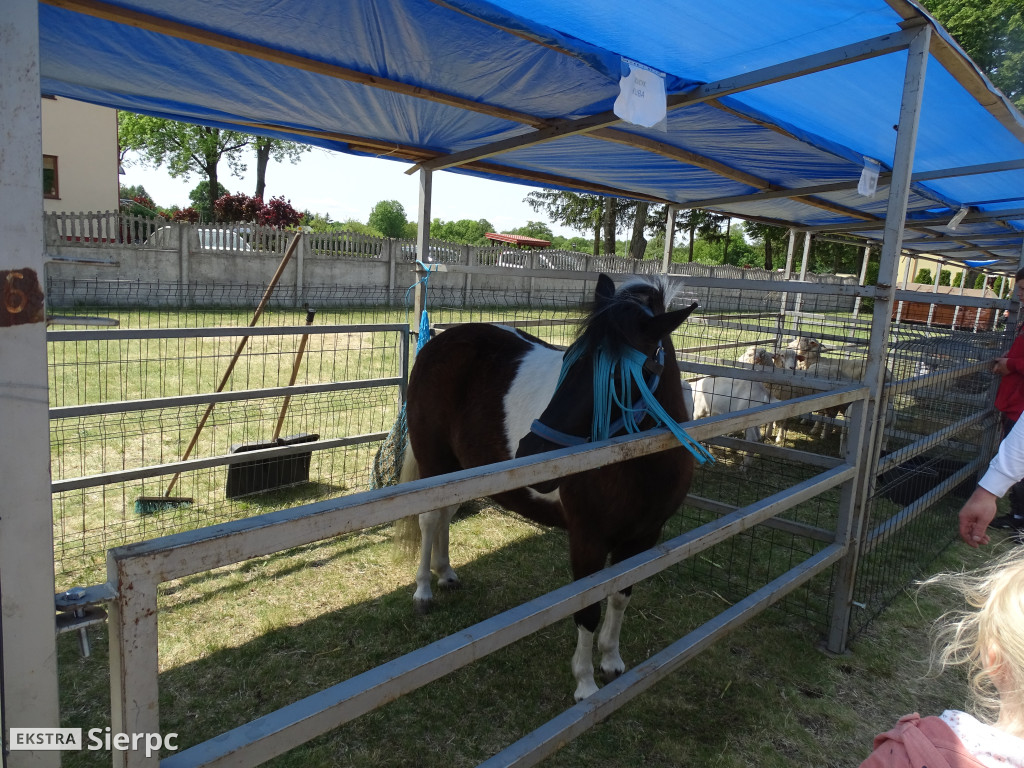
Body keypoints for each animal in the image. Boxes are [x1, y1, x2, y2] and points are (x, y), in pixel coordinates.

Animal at [397, 276, 704, 704]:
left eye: (618, 377)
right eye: (570, 360)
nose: (531, 454)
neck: (638, 461)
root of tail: (438, 343)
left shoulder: (643, 537)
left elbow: (620, 595)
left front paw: (612, 661)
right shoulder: (587, 540)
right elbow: (587, 608)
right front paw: (586, 684)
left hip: (464, 471)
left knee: (445, 517)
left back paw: (445, 574)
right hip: (436, 465)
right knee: (429, 520)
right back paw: (424, 591)